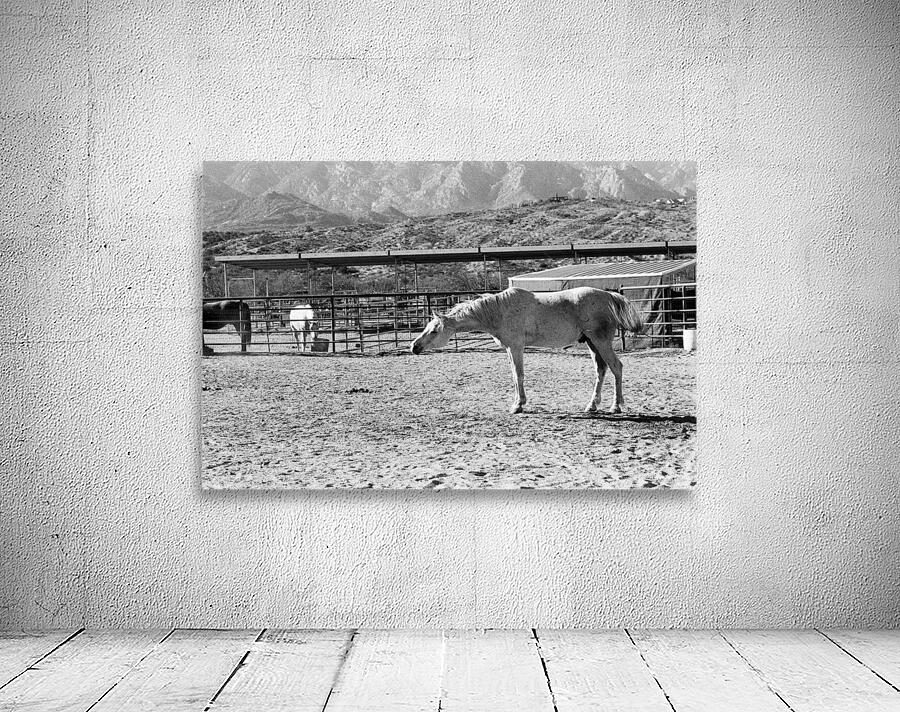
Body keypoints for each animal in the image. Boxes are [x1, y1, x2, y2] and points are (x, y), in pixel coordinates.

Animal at [410, 287, 644, 414]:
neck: (500, 311)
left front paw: (518, 406)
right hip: (592, 343)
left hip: (601, 341)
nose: (414, 347)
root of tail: (609, 296)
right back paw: (592, 406)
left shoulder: (516, 347)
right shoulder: (509, 349)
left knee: (616, 367)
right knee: (601, 370)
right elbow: (515, 376)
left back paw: (616, 407)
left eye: (434, 330)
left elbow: (519, 375)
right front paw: (517, 403)